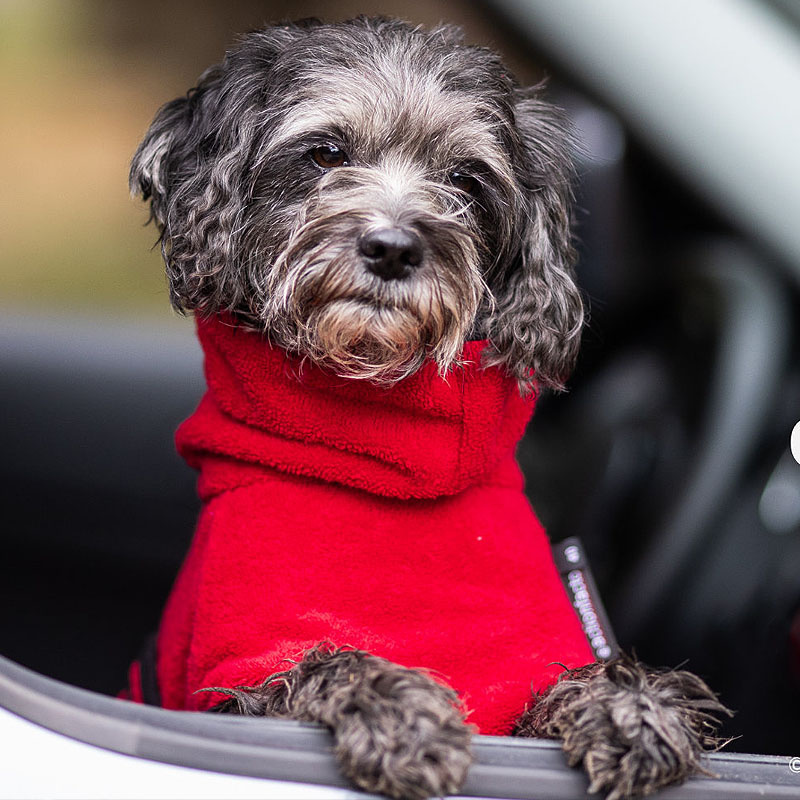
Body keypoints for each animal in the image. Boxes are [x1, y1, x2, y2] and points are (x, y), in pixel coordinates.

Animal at [125, 15, 732, 796]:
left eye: (465, 178)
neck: (393, 462)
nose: (393, 248)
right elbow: (327, 660)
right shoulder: (236, 681)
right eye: (325, 153)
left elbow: (584, 677)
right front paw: (399, 713)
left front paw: (630, 705)